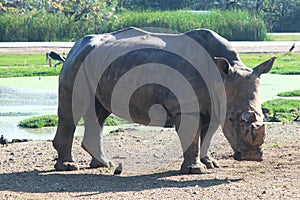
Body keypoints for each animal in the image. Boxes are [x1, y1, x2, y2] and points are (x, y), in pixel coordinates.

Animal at [52, 27, 276, 174]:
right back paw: (69, 167)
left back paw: (103, 164)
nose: (251, 157)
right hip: (77, 62)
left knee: (99, 113)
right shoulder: (186, 107)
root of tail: (75, 45)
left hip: (98, 64)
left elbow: (207, 135)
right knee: (72, 112)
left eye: (262, 115)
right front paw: (196, 170)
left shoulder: (215, 105)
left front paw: (211, 163)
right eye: (231, 120)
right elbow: (193, 136)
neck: (222, 76)